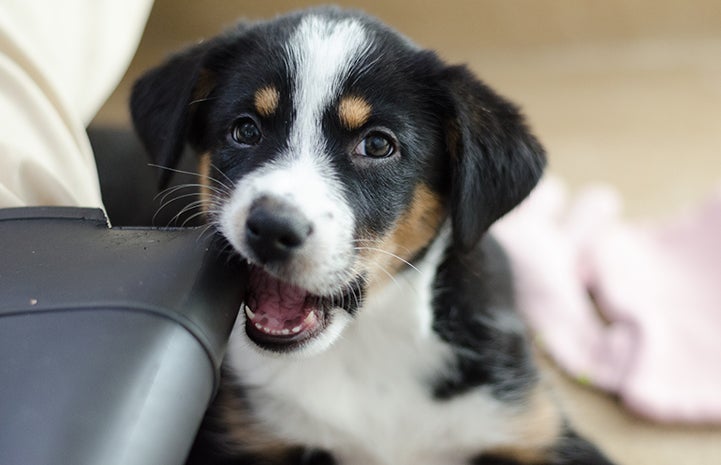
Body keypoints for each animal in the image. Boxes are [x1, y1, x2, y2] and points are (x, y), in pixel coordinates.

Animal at [129, 7, 612, 464]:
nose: (271, 228)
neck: (361, 347)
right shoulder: (239, 435)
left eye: (378, 145)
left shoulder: (529, 427)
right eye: (245, 130)